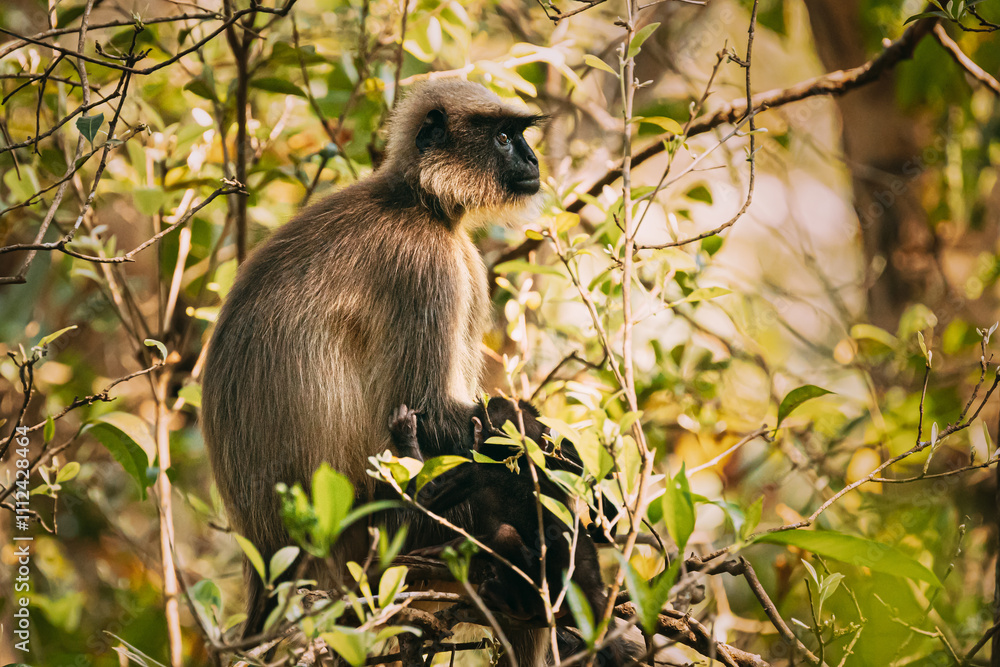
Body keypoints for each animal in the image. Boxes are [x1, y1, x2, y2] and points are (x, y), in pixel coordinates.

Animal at [200, 79, 550, 663]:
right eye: (504, 138)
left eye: (520, 136)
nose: (532, 160)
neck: (415, 201)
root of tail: (269, 556)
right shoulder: (426, 264)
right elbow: (432, 411)